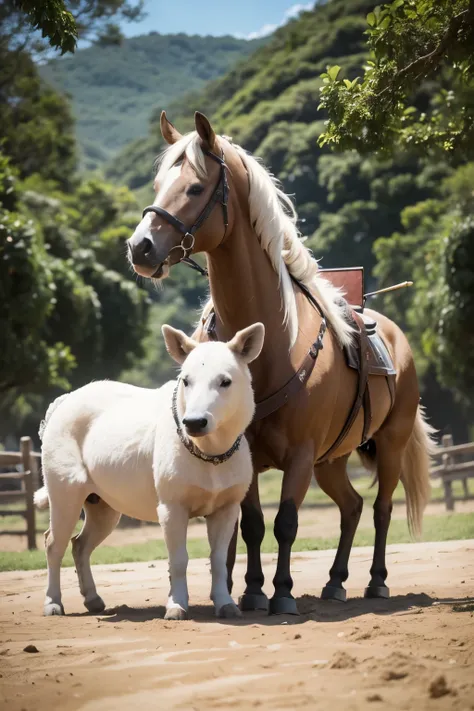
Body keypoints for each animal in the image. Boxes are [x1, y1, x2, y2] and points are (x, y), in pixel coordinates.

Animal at [127, 112, 436, 616]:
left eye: (194, 187)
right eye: (157, 184)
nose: (141, 247)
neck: (273, 343)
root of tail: (394, 335)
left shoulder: (301, 454)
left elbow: (286, 521)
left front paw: (284, 593)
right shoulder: (247, 453)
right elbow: (252, 523)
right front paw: (253, 591)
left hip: (389, 442)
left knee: (381, 509)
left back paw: (375, 582)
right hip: (333, 459)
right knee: (351, 506)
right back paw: (335, 582)